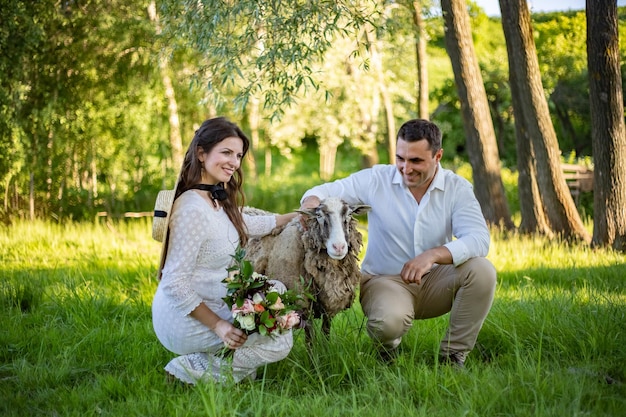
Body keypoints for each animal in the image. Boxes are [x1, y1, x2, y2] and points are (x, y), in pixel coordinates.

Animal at [243, 197, 370, 340]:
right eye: (319, 215)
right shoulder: (301, 302)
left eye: (349, 214)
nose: (339, 247)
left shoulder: (329, 307)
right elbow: (310, 337)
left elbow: (326, 332)